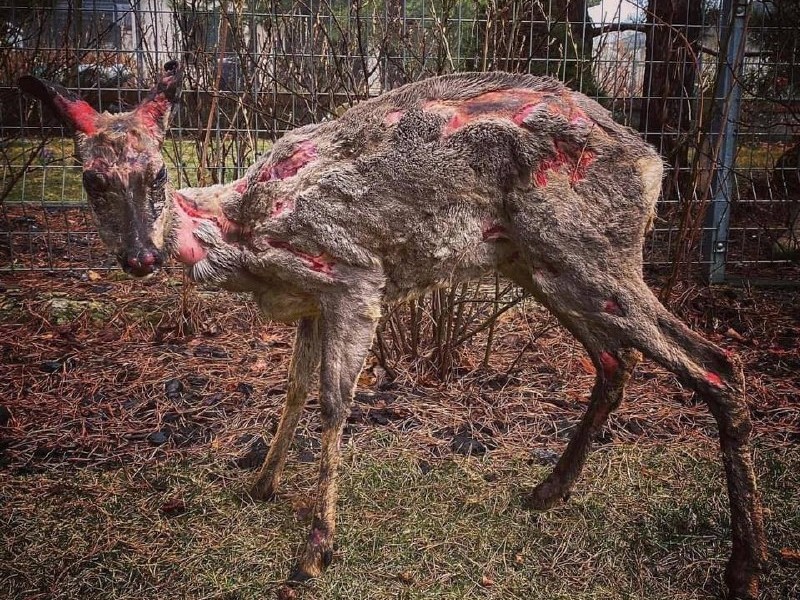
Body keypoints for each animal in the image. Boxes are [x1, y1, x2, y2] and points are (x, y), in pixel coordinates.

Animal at [20, 62, 768, 600]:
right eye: (90, 180)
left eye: (158, 171)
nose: (139, 258)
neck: (240, 228)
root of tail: (652, 163)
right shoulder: (311, 300)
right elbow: (293, 390)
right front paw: (260, 484)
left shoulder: (352, 273)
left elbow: (333, 402)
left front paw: (315, 550)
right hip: (541, 265)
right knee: (616, 363)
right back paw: (547, 491)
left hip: (588, 250)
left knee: (717, 364)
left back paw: (745, 567)